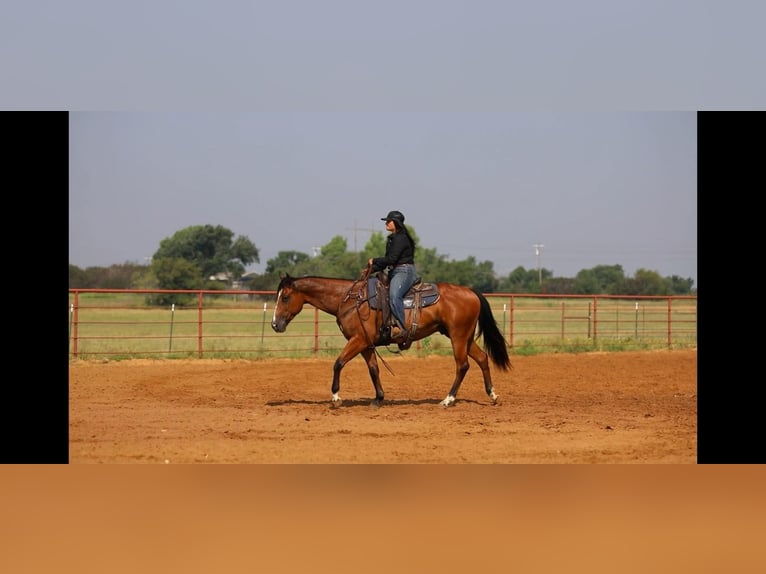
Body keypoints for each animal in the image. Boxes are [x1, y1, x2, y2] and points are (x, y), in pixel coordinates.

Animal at [270, 271, 512, 408]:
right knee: (482, 359)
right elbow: (373, 369)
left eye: (285, 297)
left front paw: (336, 398)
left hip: (458, 337)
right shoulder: (366, 344)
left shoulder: (358, 340)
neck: (350, 300)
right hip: (464, 337)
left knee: (462, 365)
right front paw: (378, 398)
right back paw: (492, 395)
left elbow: (338, 363)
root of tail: (471, 292)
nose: (275, 324)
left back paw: (448, 399)